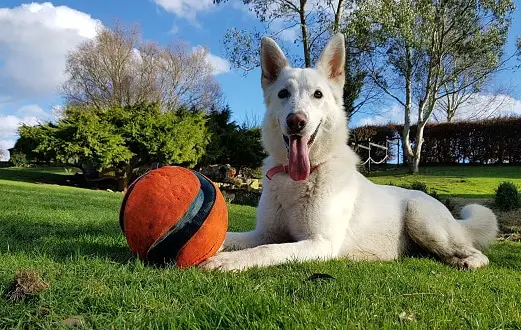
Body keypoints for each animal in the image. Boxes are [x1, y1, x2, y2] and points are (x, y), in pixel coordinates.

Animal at [199, 32, 496, 270]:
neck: (302, 179)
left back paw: (465, 260)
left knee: (477, 254)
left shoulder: (319, 243)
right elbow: (232, 237)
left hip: (422, 219)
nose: (296, 121)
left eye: (318, 95)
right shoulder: (265, 233)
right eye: (283, 94)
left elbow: (267, 251)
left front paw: (227, 261)